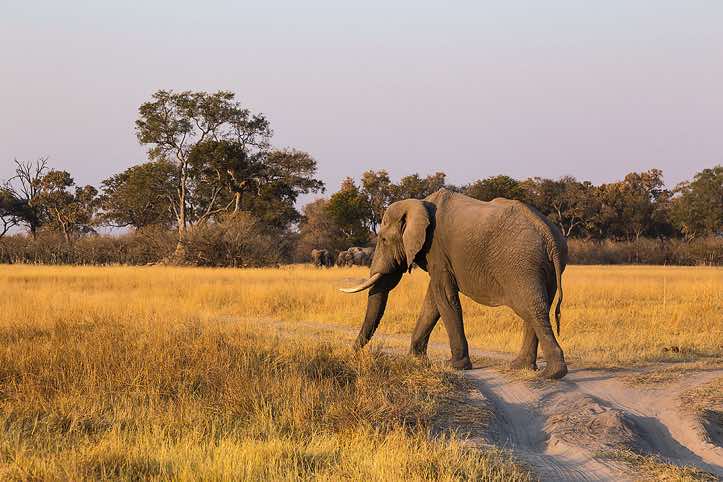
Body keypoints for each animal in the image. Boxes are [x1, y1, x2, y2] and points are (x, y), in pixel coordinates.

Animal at [339, 188, 568, 379]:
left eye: (384, 240)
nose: (351, 353)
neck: (419, 203)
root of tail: (549, 236)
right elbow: (432, 302)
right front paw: (415, 359)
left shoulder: (436, 249)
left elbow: (444, 297)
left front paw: (454, 365)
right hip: (540, 268)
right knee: (534, 310)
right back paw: (521, 367)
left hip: (521, 265)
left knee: (532, 309)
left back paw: (552, 374)